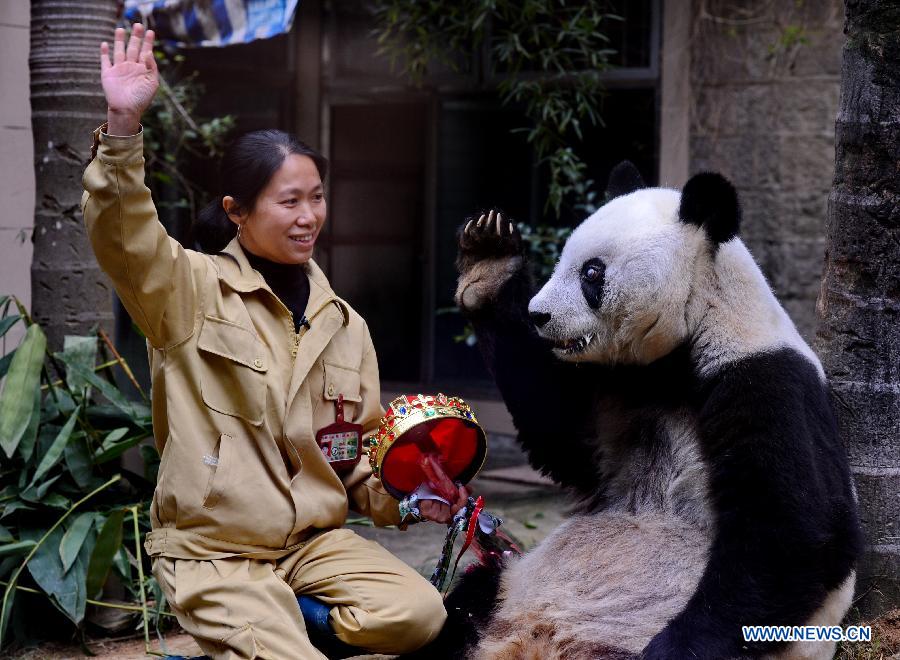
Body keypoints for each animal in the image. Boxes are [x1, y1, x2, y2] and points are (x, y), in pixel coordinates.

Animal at [414, 163, 862, 660]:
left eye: (592, 272)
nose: (538, 315)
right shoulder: (618, 385)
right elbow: (562, 438)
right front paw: (489, 265)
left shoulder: (762, 378)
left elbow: (796, 530)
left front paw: (674, 649)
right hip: (510, 589)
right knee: (469, 601)